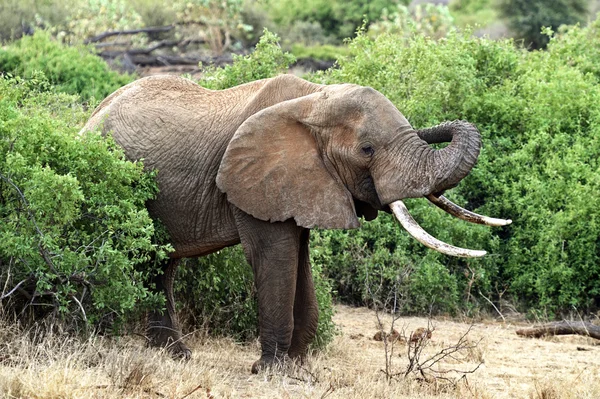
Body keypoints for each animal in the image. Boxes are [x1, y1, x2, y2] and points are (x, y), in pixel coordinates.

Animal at [81, 73, 510, 374]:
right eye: (366, 150)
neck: (314, 99)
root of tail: (87, 121)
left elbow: (300, 259)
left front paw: (299, 366)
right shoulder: (256, 180)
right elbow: (275, 257)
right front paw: (271, 371)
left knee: (159, 263)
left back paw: (175, 354)